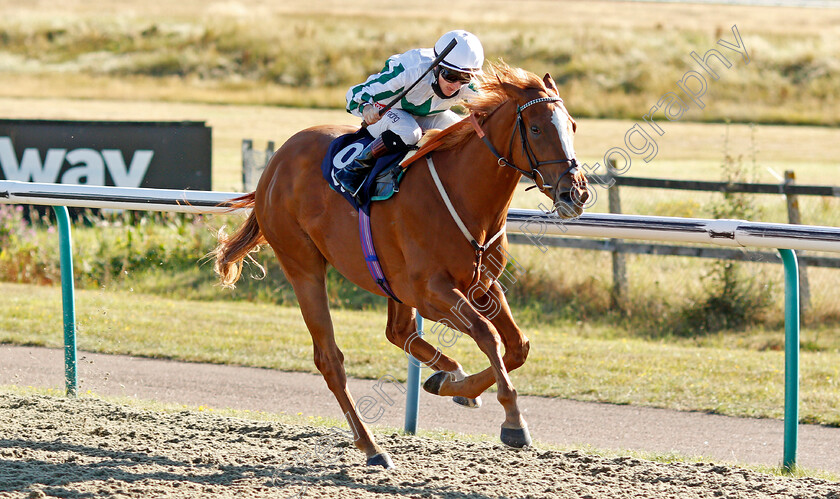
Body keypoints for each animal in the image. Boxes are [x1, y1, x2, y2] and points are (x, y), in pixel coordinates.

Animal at [213, 62, 588, 468]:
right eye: (535, 128)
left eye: (572, 125)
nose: (575, 192)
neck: (463, 195)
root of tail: (276, 163)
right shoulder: (431, 291)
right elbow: (487, 334)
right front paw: (514, 421)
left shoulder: (482, 285)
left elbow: (518, 345)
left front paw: (456, 385)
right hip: (303, 265)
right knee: (330, 359)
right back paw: (372, 446)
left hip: (389, 281)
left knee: (398, 331)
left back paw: (446, 374)